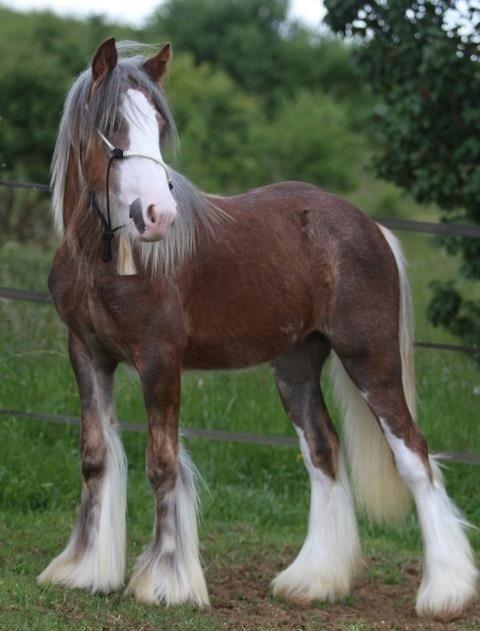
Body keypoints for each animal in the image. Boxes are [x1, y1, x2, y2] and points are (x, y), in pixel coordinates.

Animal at [39, 39, 478, 624]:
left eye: (159, 124)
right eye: (111, 124)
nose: (158, 215)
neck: (103, 260)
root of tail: (369, 225)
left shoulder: (160, 360)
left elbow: (162, 464)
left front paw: (166, 582)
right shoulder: (87, 353)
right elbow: (95, 456)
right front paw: (85, 571)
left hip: (372, 361)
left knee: (414, 455)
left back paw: (446, 591)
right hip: (296, 367)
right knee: (323, 451)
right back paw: (314, 580)